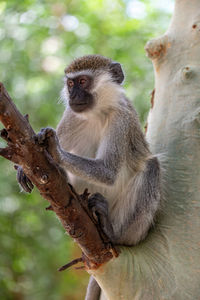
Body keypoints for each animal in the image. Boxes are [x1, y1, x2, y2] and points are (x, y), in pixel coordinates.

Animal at [17, 55, 161, 298]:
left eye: (83, 81)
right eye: (70, 83)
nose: (73, 96)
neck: (97, 112)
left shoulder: (121, 119)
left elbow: (108, 172)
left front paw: (55, 150)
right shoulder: (70, 116)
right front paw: (26, 165)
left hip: (123, 216)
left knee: (152, 166)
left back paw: (113, 233)